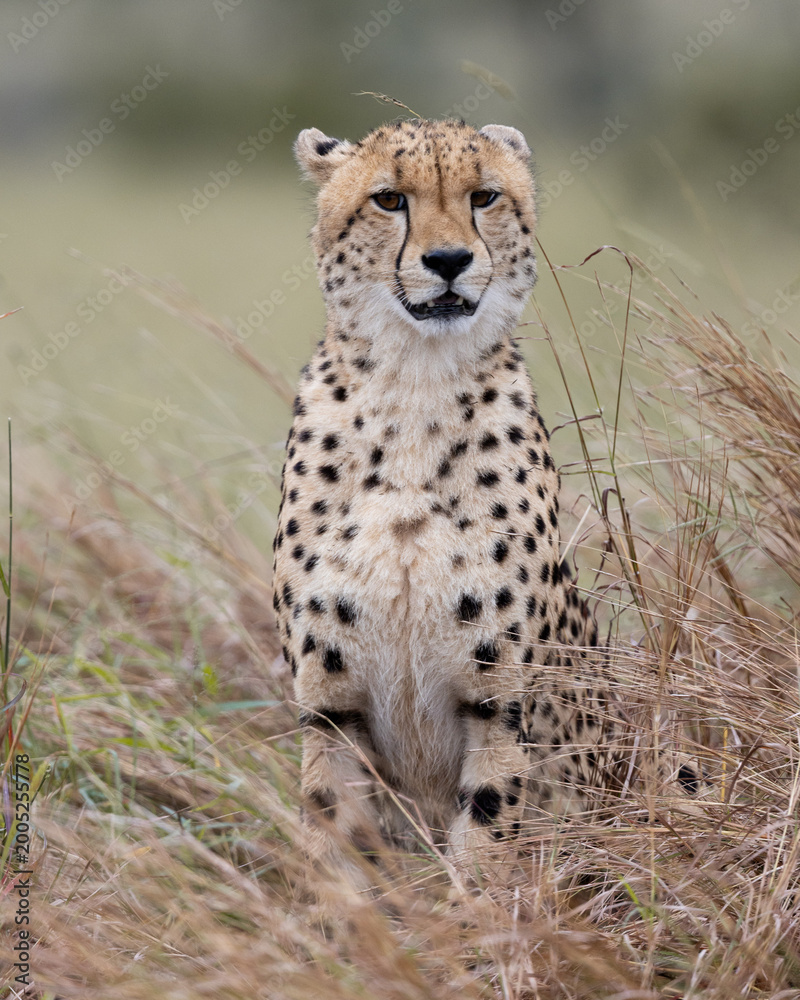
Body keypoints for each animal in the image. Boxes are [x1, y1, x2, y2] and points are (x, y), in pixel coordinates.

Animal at [272, 118, 699, 885]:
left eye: (484, 197)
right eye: (389, 199)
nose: (448, 260)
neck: (414, 388)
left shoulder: (499, 708)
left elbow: (487, 846)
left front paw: (474, 917)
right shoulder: (329, 711)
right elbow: (330, 843)